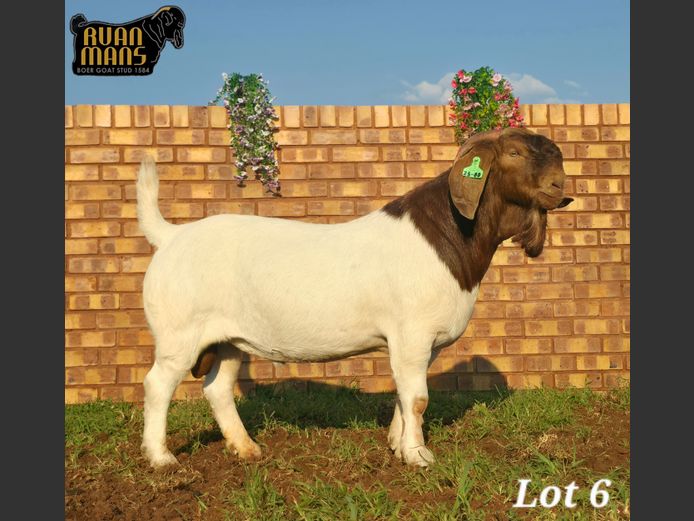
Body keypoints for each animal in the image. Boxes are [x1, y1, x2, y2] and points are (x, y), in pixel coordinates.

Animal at [137, 127, 573, 468]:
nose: (561, 188)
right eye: (514, 153)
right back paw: (161, 458)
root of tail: (171, 236)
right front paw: (418, 456)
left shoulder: (420, 345)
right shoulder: (412, 334)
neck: (450, 235)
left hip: (228, 339)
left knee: (218, 388)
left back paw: (247, 449)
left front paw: (397, 444)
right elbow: (418, 399)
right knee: (158, 383)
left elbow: (404, 395)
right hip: (179, 333)